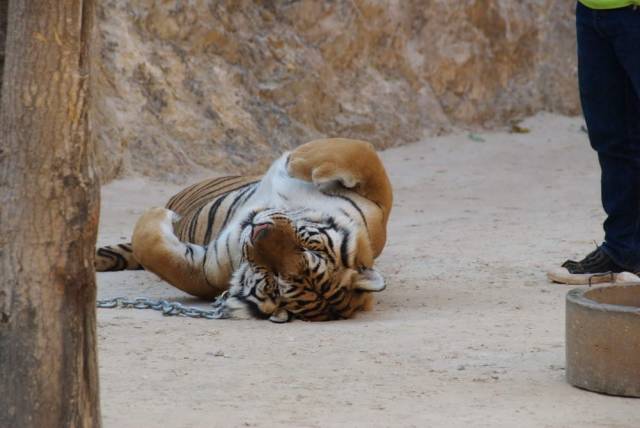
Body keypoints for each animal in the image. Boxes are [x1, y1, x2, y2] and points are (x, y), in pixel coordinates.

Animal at [95, 139, 392, 322]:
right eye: (307, 246)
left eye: (275, 280)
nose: (258, 231)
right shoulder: (377, 209)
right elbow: (364, 155)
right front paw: (298, 160)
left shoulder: (205, 269)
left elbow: (154, 252)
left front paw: (158, 214)